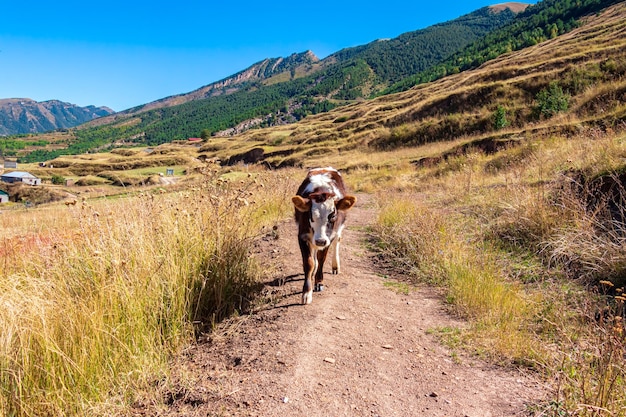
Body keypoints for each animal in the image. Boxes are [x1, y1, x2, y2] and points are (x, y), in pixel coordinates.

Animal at [290, 167, 354, 304]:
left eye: (333, 215)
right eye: (311, 215)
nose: (320, 241)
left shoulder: (328, 238)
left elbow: (321, 258)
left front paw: (319, 282)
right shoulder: (302, 235)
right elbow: (309, 262)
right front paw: (306, 292)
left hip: (337, 231)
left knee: (337, 242)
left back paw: (335, 266)